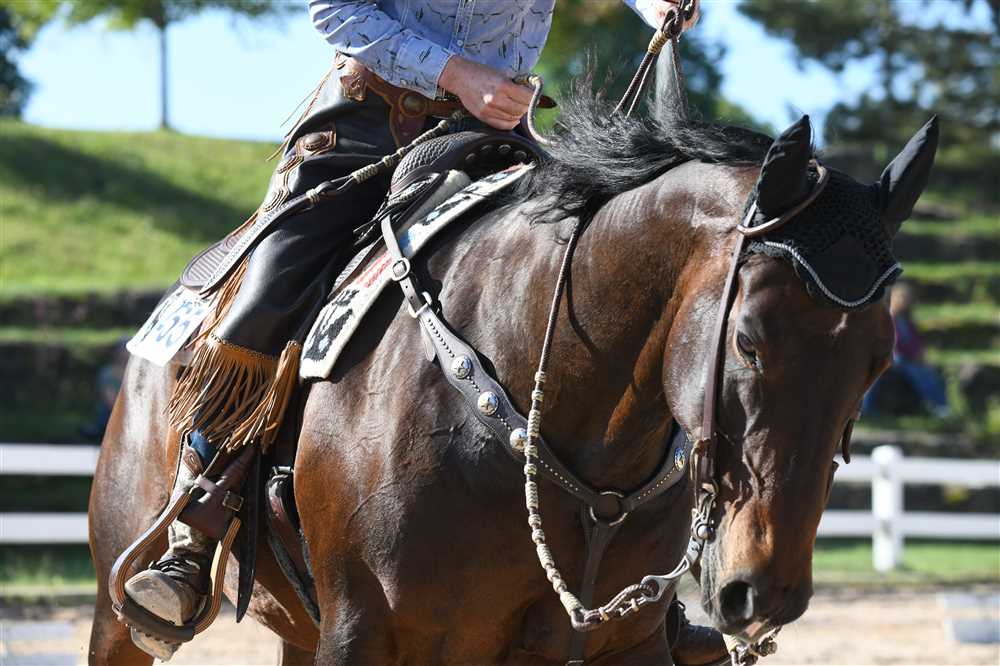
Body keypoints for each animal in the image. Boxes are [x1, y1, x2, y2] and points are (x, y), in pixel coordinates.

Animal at [88, 91, 937, 664]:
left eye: (876, 362)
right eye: (752, 341)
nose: (765, 592)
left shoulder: (620, 646)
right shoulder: (363, 632)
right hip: (118, 608)